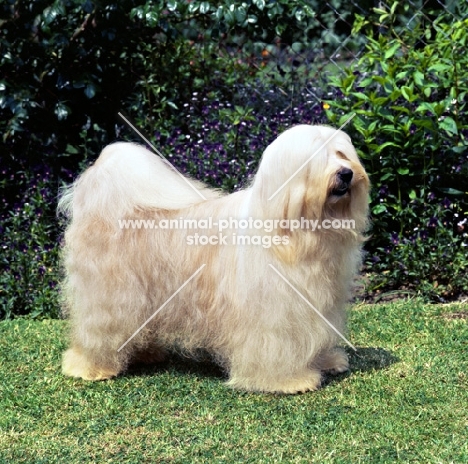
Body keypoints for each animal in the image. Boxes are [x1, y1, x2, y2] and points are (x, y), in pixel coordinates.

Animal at [59, 125, 370, 394]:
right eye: (314, 159)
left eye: (341, 154)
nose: (346, 173)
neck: (300, 232)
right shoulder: (273, 313)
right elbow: (276, 346)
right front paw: (288, 380)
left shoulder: (317, 303)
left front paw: (326, 361)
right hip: (109, 299)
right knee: (98, 331)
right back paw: (92, 367)